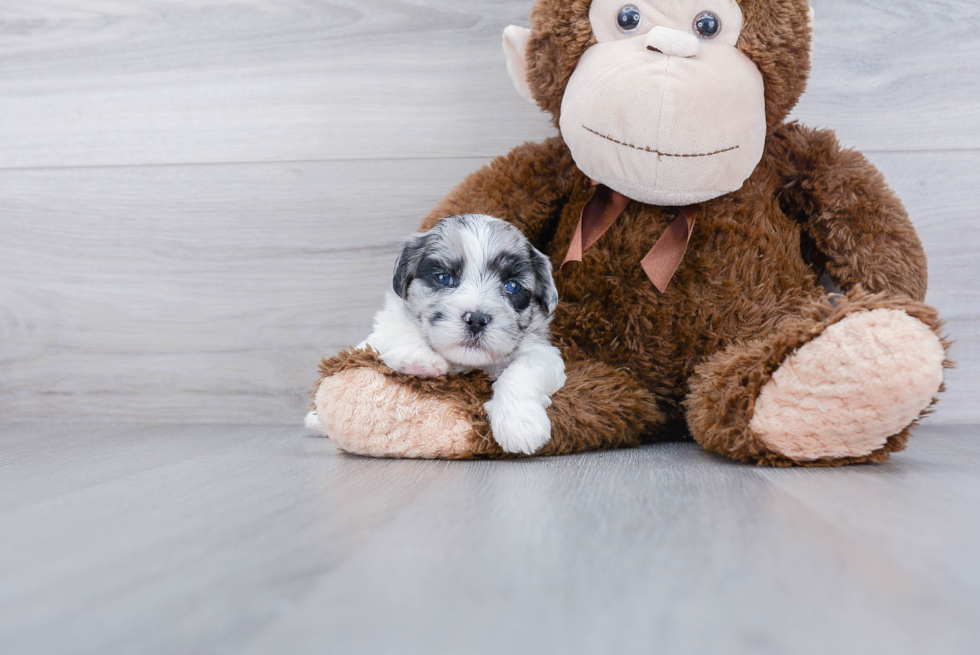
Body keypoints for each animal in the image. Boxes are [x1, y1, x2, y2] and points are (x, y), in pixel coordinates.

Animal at [306, 215, 568, 456]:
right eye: (443, 278)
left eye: (512, 286)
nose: (476, 318)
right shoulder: (385, 328)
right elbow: (401, 331)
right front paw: (420, 360)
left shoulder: (543, 352)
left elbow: (522, 370)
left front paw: (520, 424)